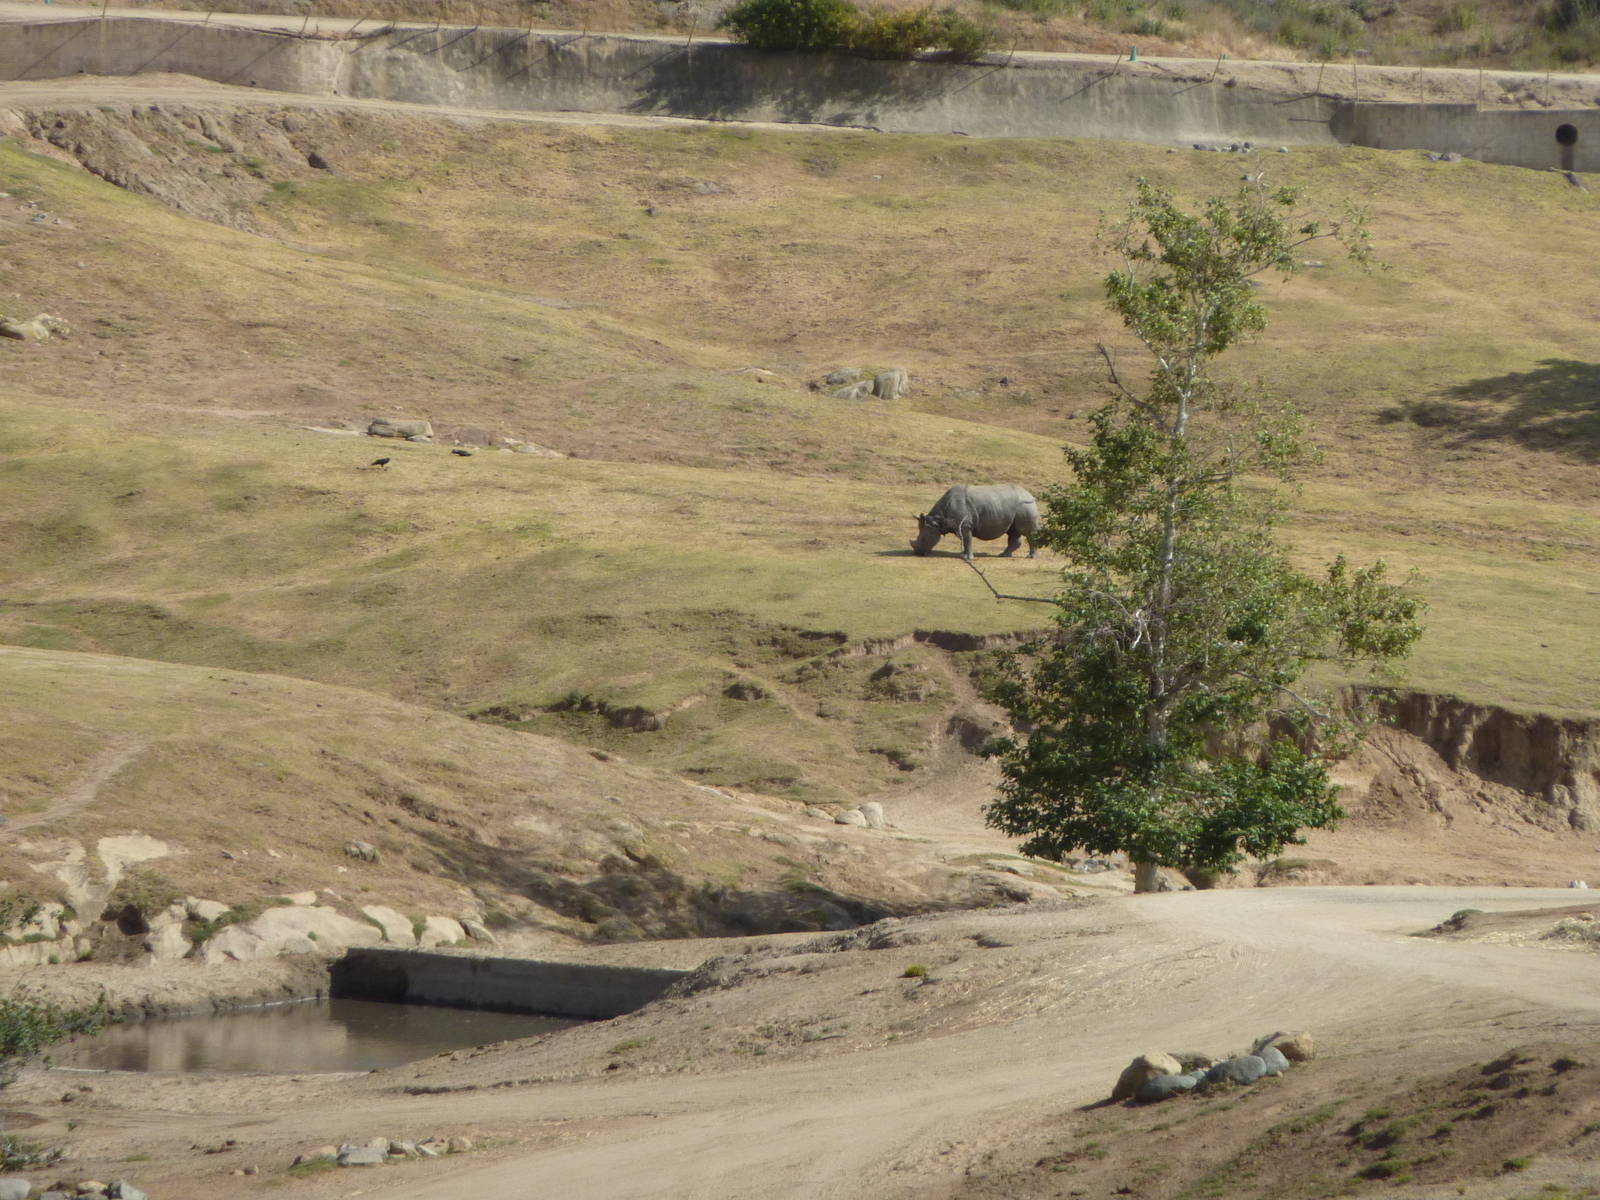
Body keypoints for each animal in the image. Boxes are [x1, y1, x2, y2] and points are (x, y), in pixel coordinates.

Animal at [911, 484, 1041, 562]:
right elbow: (965, 540)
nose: (917, 553)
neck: (937, 520)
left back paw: (1031, 557)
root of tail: (1030, 494)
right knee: (1013, 531)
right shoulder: (961, 526)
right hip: (1015, 508)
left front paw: (968, 559)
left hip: (1025, 505)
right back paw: (1003, 555)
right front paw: (963, 555)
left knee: (1027, 532)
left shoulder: (965, 525)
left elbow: (967, 540)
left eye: (923, 538)